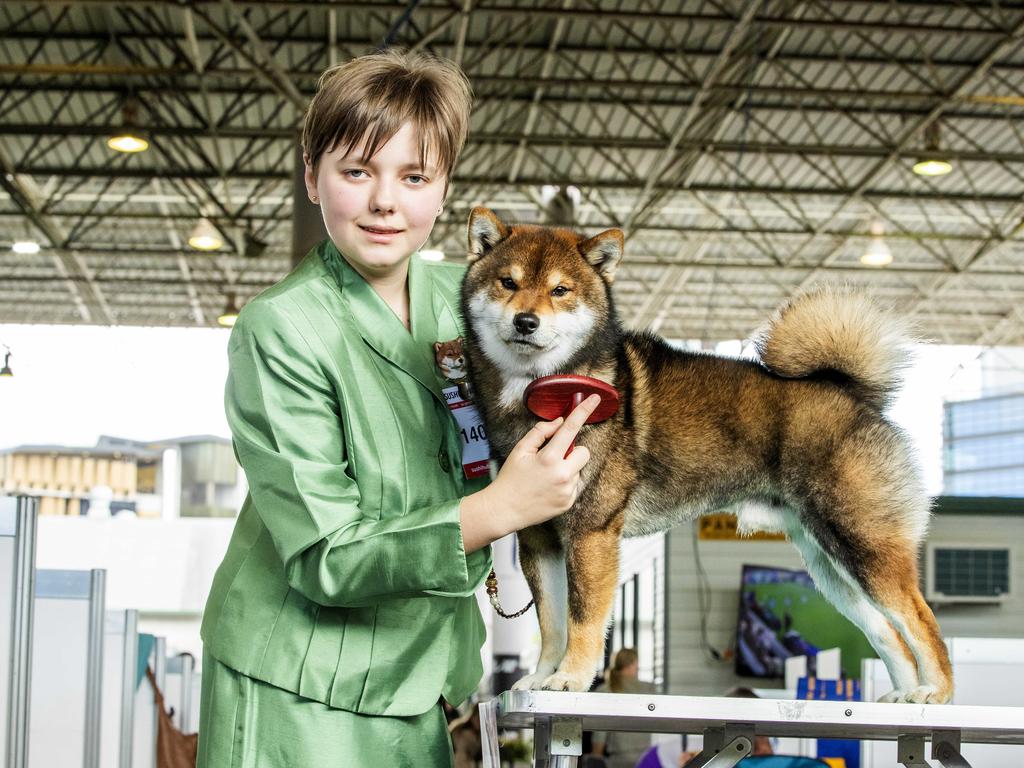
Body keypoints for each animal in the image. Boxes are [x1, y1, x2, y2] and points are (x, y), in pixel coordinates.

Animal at [460, 207, 954, 708]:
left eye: (560, 290)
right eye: (507, 282)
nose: (525, 321)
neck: (543, 391)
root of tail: (849, 393)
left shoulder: (590, 531)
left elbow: (581, 621)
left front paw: (571, 679)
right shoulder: (540, 539)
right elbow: (552, 624)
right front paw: (540, 679)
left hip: (862, 544)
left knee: (920, 619)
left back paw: (936, 692)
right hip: (831, 568)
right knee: (887, 634)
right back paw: (905, 694)